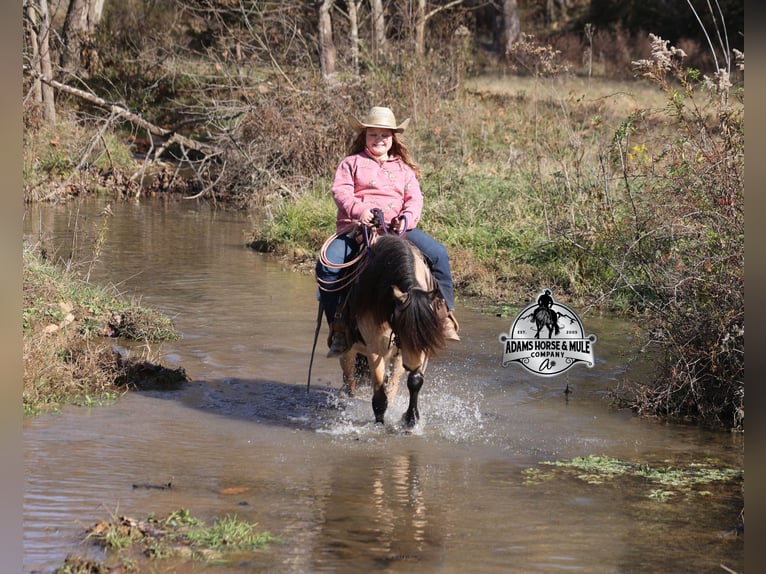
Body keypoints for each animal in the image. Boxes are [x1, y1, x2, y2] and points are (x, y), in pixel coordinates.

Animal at [339, 233, 448, 427]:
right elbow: (379, 395)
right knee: (349, 379)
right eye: (402, 327)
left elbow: (413, 381)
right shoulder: (375, 349)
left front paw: (411, 420)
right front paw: (379, 424)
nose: (412, 364)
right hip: (348, 347)